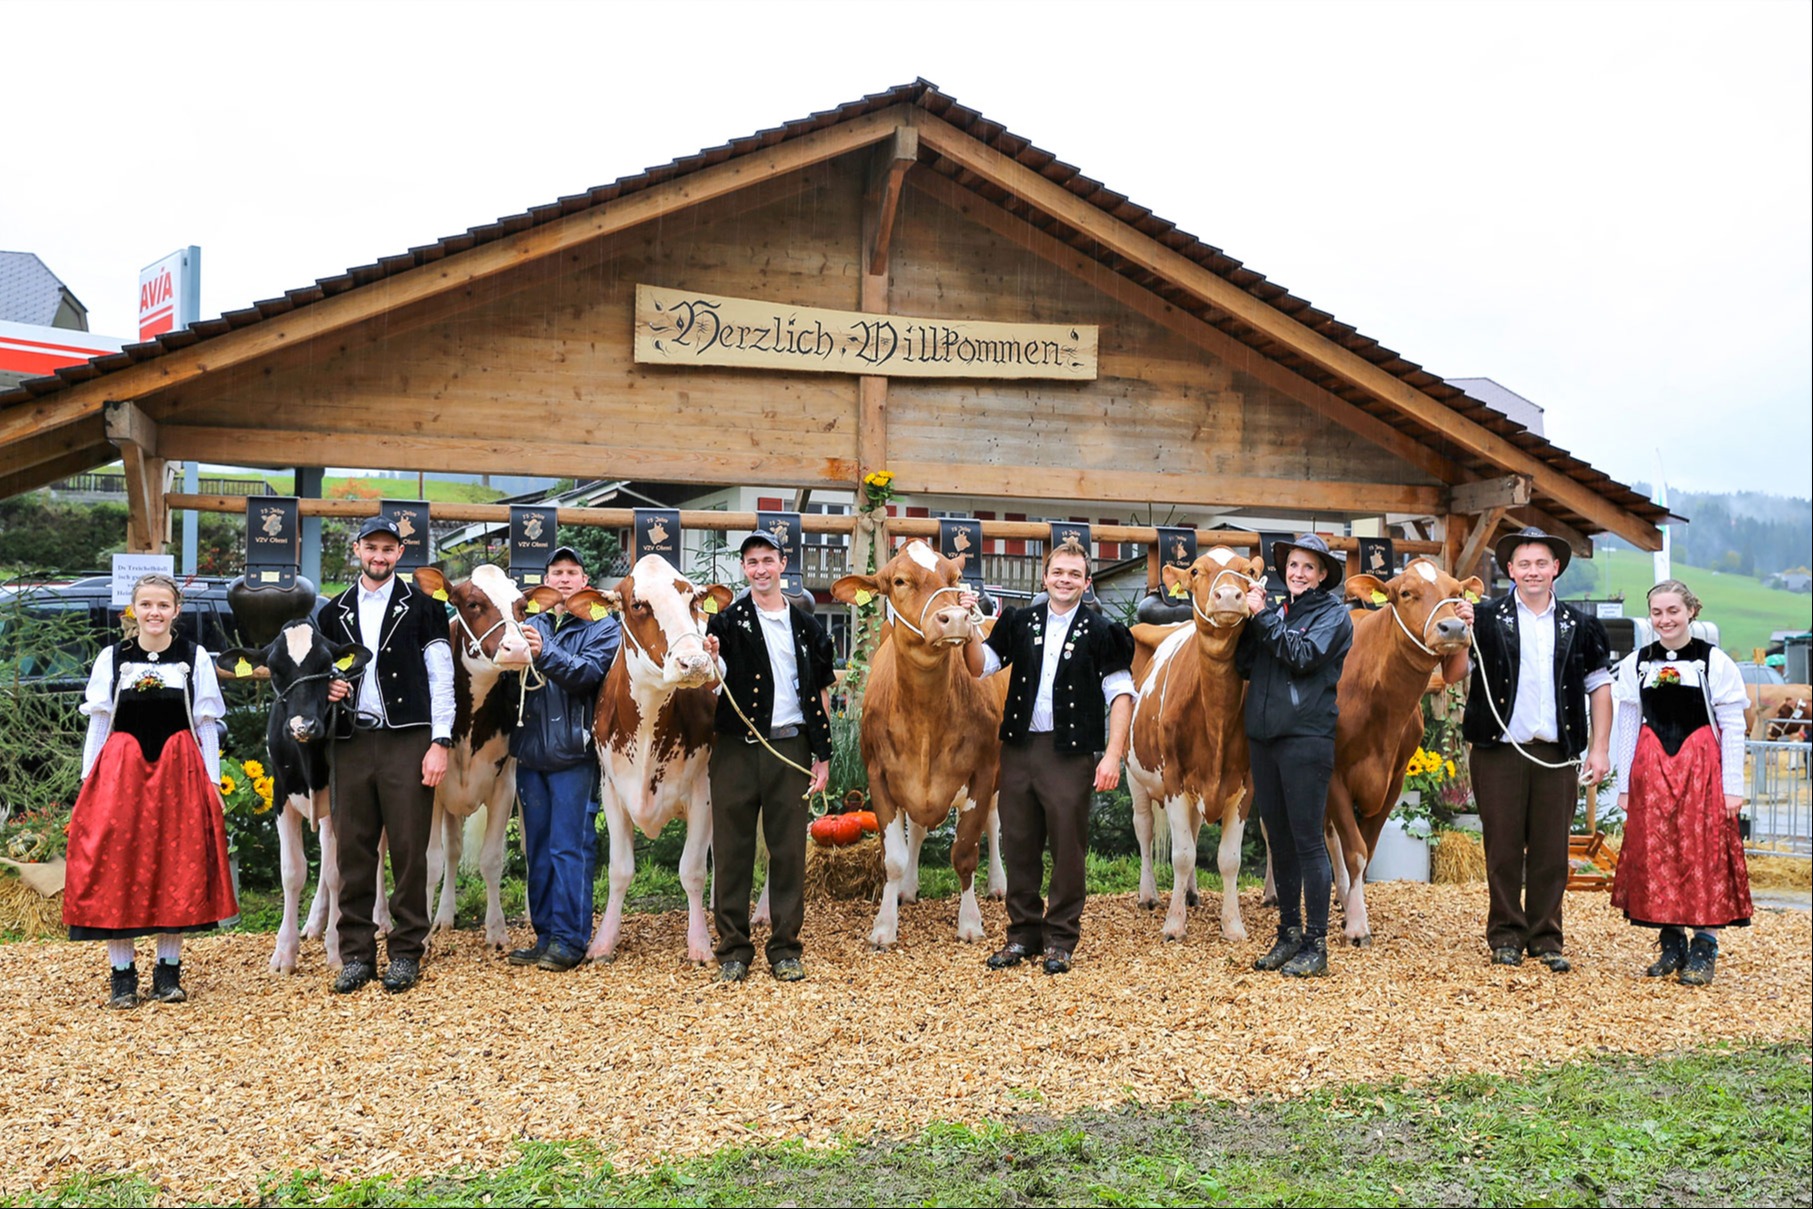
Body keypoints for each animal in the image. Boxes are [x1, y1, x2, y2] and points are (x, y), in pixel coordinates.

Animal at [416, 561, 536, 949]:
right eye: (472, 603)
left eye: (522, 608)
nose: (518, 648)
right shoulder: (430, 787)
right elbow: (431, 861)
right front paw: (420, 937)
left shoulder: (504, 785)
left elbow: (492, 859)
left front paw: (497, 931)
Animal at [587, 554, 728, 964]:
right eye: (637, 604)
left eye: (693, 599)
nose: (695, 662)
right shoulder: (611, 790)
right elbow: (619, 871)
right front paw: (603, 943)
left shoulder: (704, 791)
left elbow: (692, 871)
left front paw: (700, 944)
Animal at [830, 543, 1015, 949]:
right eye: (899, 580)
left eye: (954, 577)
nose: (956, 618)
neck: (926, 720)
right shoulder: (879, 776)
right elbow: (894, 858)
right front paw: (884, 927)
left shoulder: (983, 772)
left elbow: (965, 851)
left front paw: (970, 922)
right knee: (916, 830)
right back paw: (908, 889)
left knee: (994, 822)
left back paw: (998, 884)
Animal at [1124, 547, 1269, 942]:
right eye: (1195, 571)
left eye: (1249, 571)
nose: (1229, 596)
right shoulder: (1174, 779)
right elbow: (1183, 854)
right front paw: (1174, 925)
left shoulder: (1246, 784)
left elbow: (1228, 859)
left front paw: (1232, 925)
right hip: (1134, 774)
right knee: (1143, 829)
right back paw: (1149, 895)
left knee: (1192, 827)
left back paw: (1189, 892)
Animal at [1327, 558, 1479, 942]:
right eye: (1407, 592)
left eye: (1457, 593)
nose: (1453, 627)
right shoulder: (1331, 772)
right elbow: (1355, 850)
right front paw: (1357, 926)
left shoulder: (1394, 779)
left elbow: (1365, 849)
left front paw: (1352, 910)